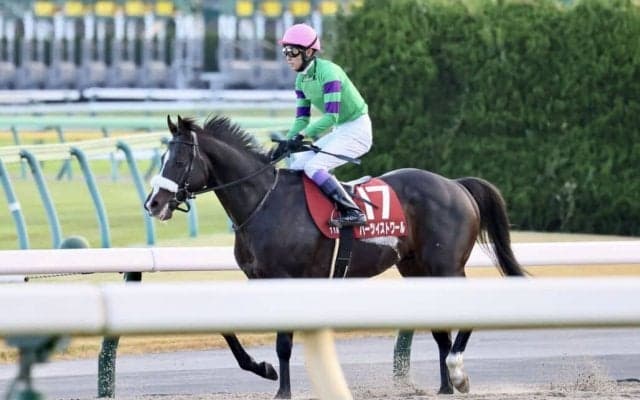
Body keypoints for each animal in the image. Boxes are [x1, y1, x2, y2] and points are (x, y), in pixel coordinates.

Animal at [144, 115, 525, 398]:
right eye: (162, 159)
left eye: (179, 160)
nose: (154, 203)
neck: (263, 202)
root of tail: (456, 186)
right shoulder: (258, 279)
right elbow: (229, 329)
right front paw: (264, 369)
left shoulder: (286, 278)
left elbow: (284, 342)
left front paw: (283, 390)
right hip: (415, 267)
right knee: (440, 326)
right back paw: (445, 386)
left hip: (445, 265)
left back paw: (457, 373)